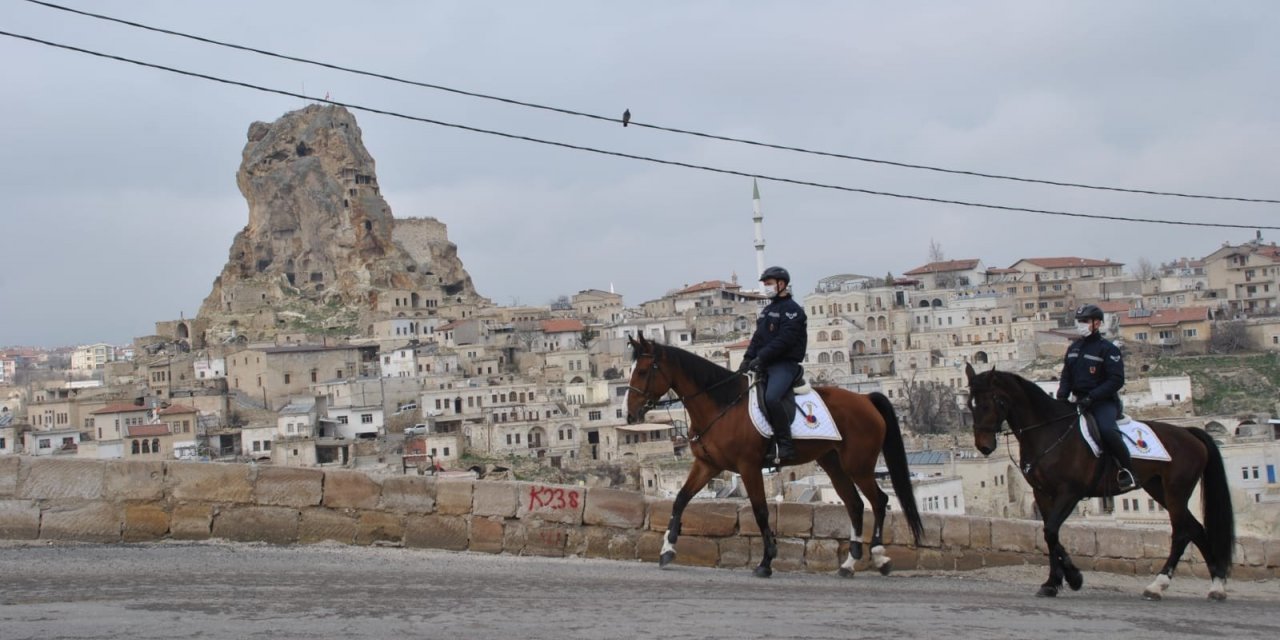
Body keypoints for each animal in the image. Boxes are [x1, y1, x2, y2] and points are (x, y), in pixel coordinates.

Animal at [622, 335, 916, 581]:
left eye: (643, 371)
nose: (629, 414)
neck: (722, 405)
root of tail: (866, 399)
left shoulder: (748, 466)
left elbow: (761, 511)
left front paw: (766, 561)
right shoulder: (708, 464)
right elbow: (681, 499)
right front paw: (667, 548)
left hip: (859, 465)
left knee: (879, 501)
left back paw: (879, 556)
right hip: (834, 464)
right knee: (855, 504)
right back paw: (849, 564)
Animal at [967, 366, 1228, 599]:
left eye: (991, 402)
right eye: (970, 404)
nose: (984, 446)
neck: (1050, 432)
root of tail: (1190, 433)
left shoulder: (1070, 492)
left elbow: (1050, 531)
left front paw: (1072, 577)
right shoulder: (1042, 493)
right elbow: (1050, 534)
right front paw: (1055, 582)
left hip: (1176, 490)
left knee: (1182, 532)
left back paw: (1158, 585)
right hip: (1158, 488)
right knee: (1196, 529)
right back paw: (1216, 586)